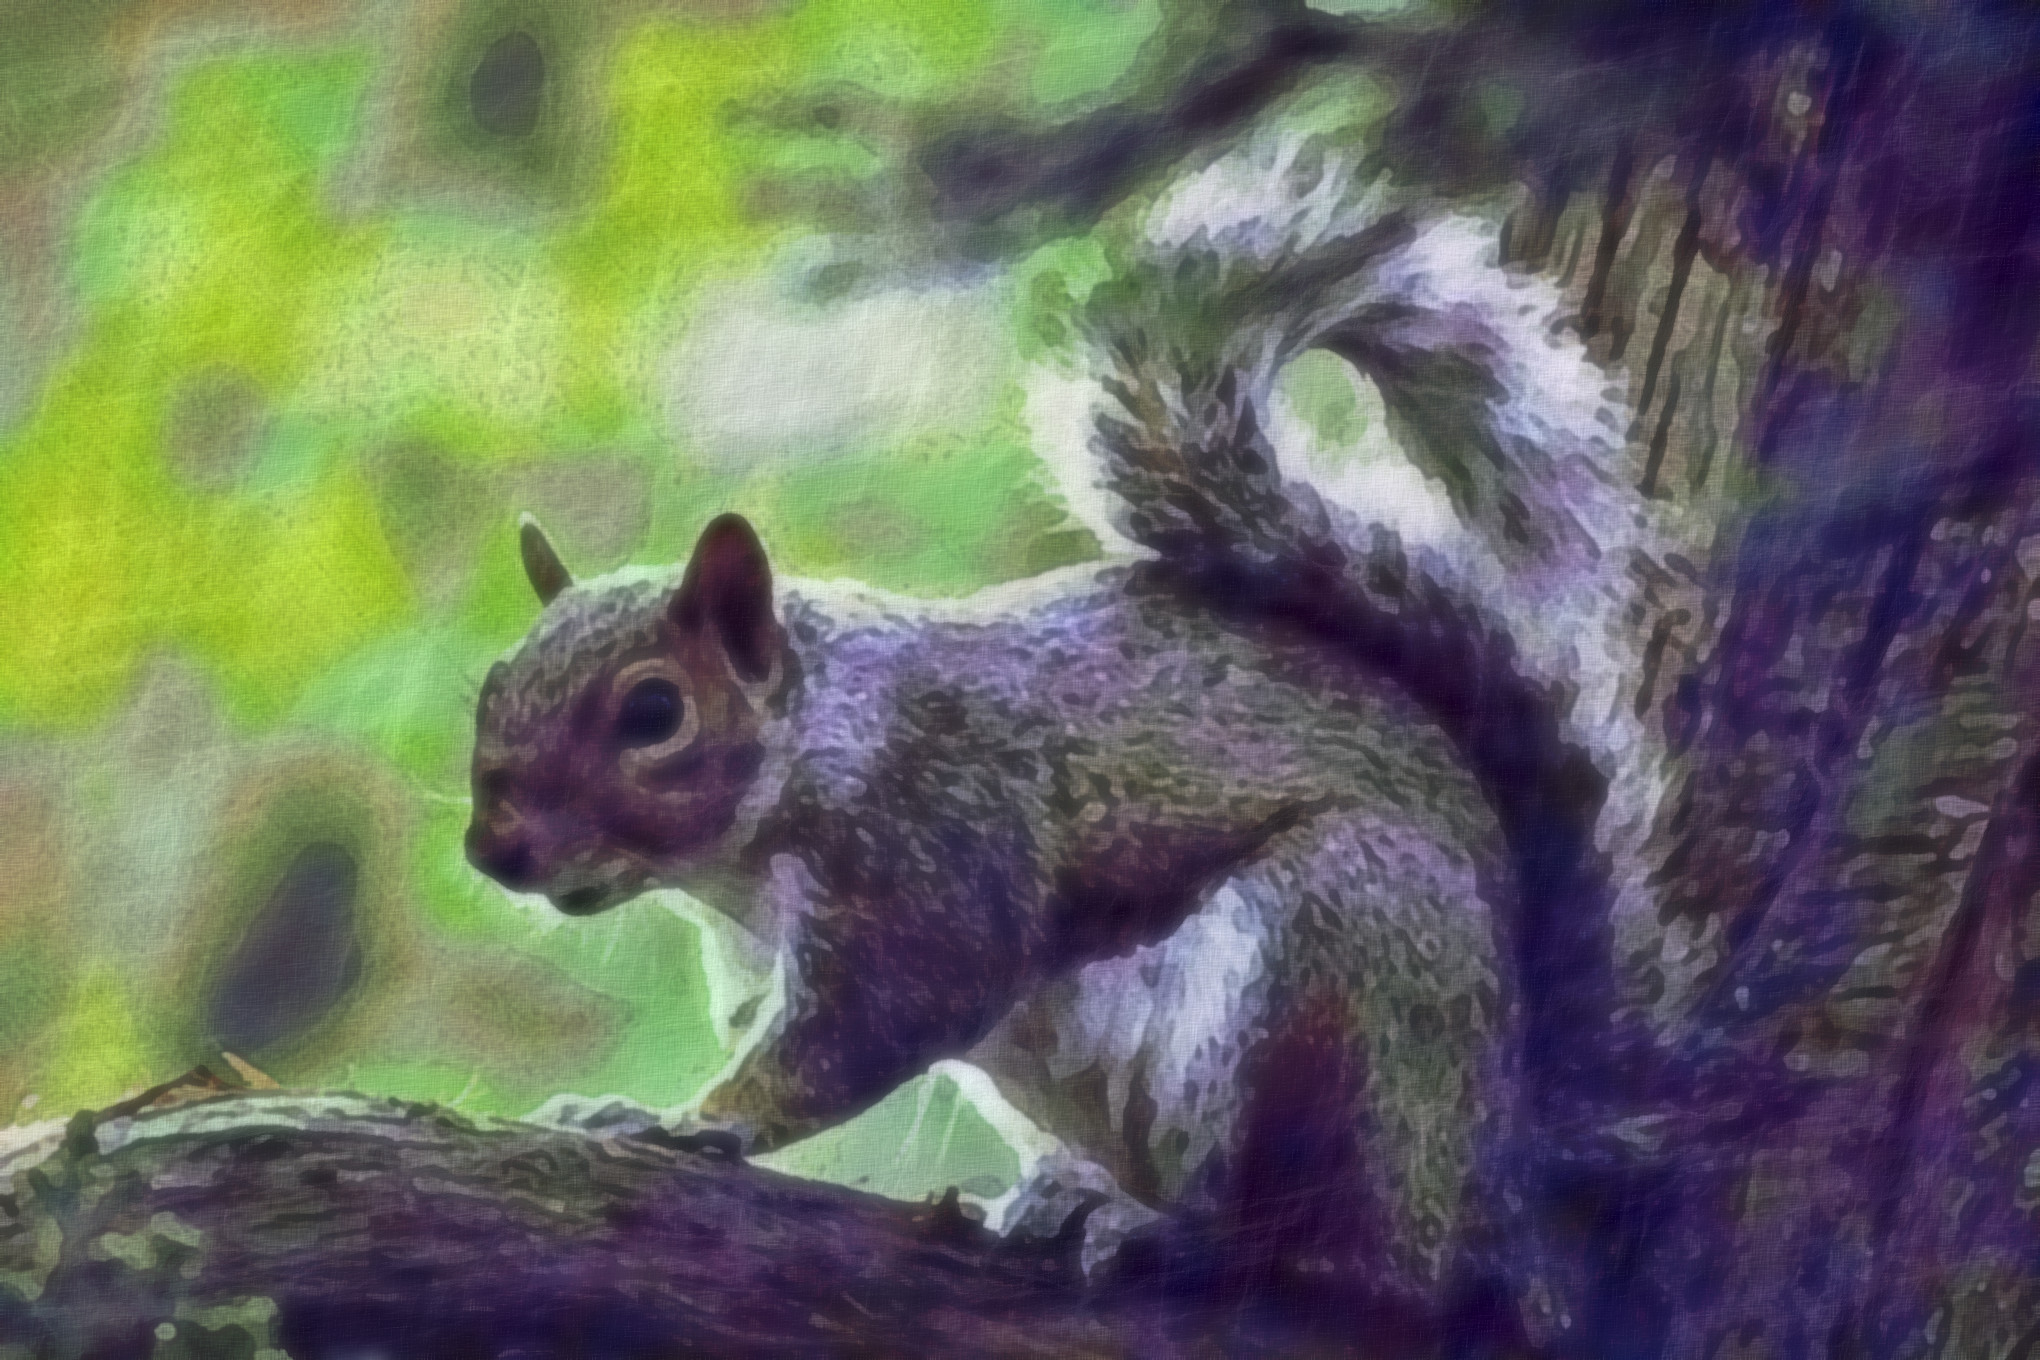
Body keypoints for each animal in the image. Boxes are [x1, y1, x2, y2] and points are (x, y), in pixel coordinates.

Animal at [466, 128, 1683, 1339]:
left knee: (1331, 1255)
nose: (495, 850)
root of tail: (1499, 1188)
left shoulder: (938, 845)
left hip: (1340, 970)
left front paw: (693, 1120)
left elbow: (866, 1026)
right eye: (492, 685)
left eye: (653, 713)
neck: (813, 751)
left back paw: (1181, 1235)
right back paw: (1071, 1196)